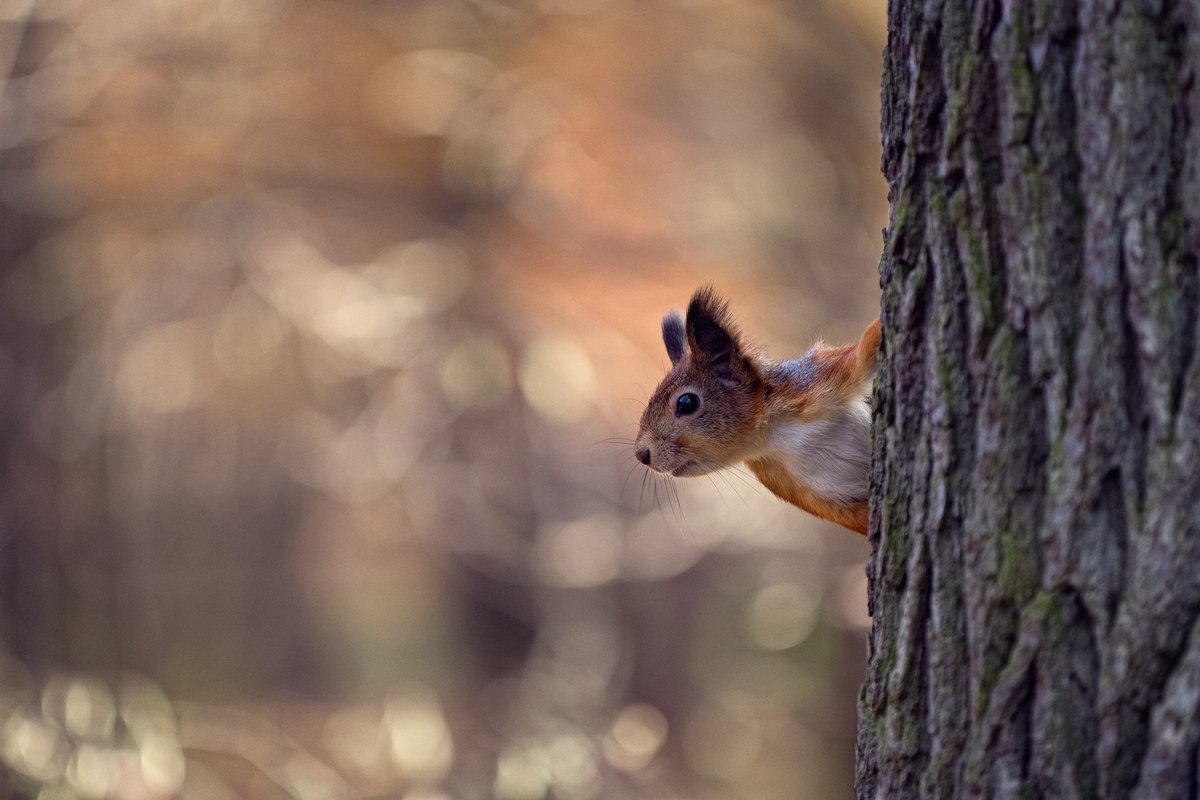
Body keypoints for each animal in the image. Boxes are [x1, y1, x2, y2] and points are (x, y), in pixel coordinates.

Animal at [633, 284, 878, 534]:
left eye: (687, 403)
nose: (641, 454)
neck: (775, 436)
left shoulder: (820, 379)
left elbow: (863, 350)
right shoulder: (801, 490)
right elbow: (858, 518)